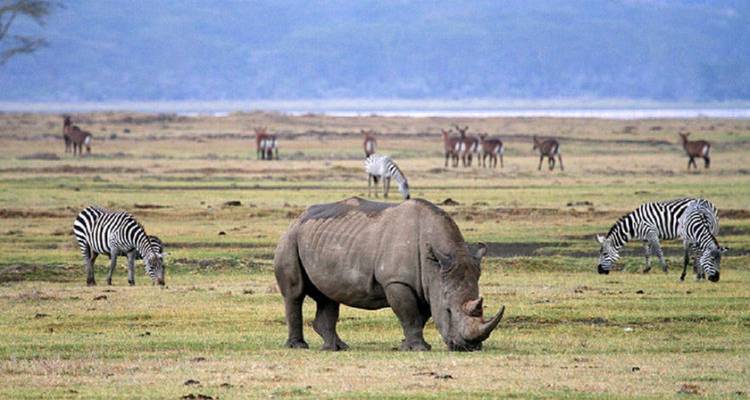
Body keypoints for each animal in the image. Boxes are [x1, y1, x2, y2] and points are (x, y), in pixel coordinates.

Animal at [274, 197, 504, 351]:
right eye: (448, 311)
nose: (469, 347)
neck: (436, 264)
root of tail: (298, 217)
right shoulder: (397, 282)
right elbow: (409, 314)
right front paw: (419, 348)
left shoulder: (429, 285)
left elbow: (420, 316)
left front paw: (407, 346)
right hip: (290, 238)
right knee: (295, 293)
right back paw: (299, 346)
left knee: (329, 296)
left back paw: (336, 347)